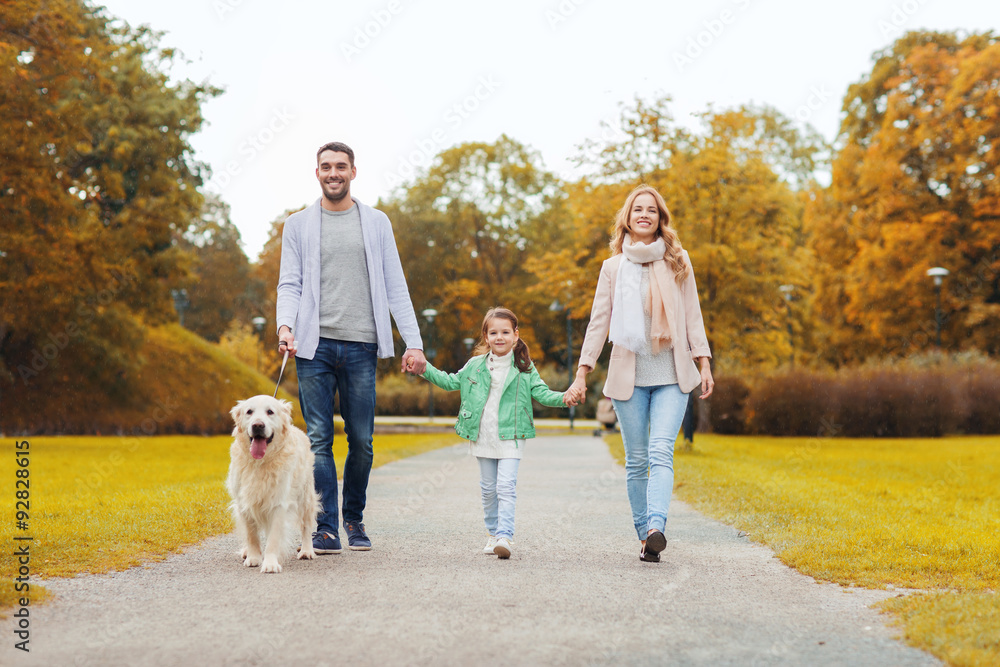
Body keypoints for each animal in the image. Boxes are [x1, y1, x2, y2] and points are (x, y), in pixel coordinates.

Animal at [227, 396, 320, 576]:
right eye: (249, 411)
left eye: (270, 411)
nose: (257, 425)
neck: (260, 463)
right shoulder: (244, 503)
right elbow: (251, 535)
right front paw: (253, 558)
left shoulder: (278, 503)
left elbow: (273, 539)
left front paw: (270, 564)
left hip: (305, 497)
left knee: (306, 525)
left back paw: (307, 550)